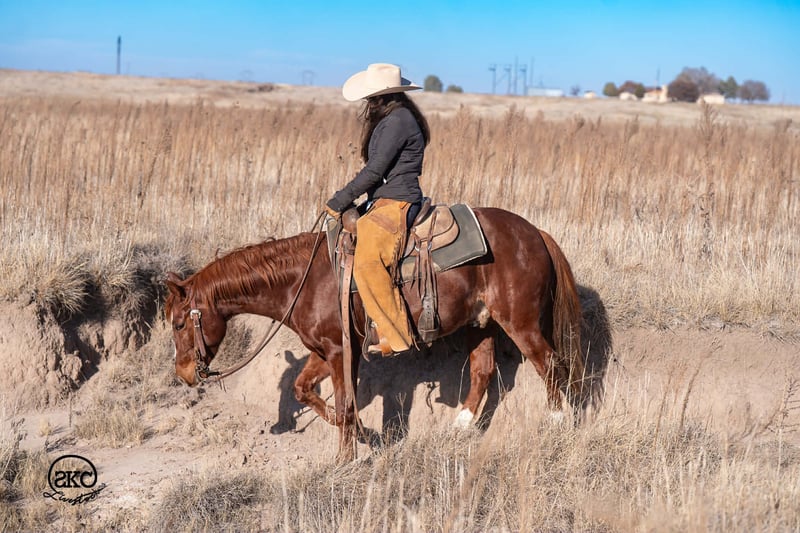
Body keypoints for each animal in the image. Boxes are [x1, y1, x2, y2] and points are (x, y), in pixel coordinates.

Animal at [165, 207, 587, 463]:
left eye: (179, 323)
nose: (183, 374)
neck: (305, 280)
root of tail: (535, 233)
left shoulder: (339, 352)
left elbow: (345, 404)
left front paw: (345, 457)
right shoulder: (325, 351)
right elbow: (306, 390)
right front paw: (363, 435)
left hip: (521, 323)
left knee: (550, 365)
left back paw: (556, 423)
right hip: (479, 324)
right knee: (483, 371)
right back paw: (460, 429)